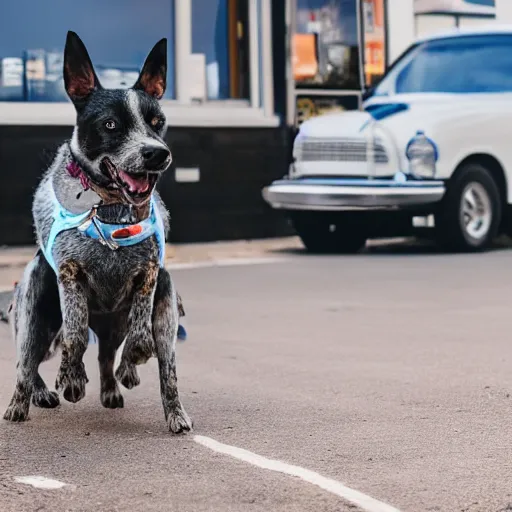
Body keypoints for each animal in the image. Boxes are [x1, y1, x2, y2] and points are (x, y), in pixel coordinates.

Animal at [3, 32, 191, 432]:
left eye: (158, 121)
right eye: (110, 125)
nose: (157, 154)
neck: (109, 211)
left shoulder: (149, 275)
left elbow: (141, 337)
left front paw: (129, 365)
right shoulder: (69, 273)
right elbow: (74, 335)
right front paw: (71, 378)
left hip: (155, 313)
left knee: (143, 361)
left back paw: (150, 400)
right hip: (35, 318)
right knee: (27, 361)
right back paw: (26, 399)